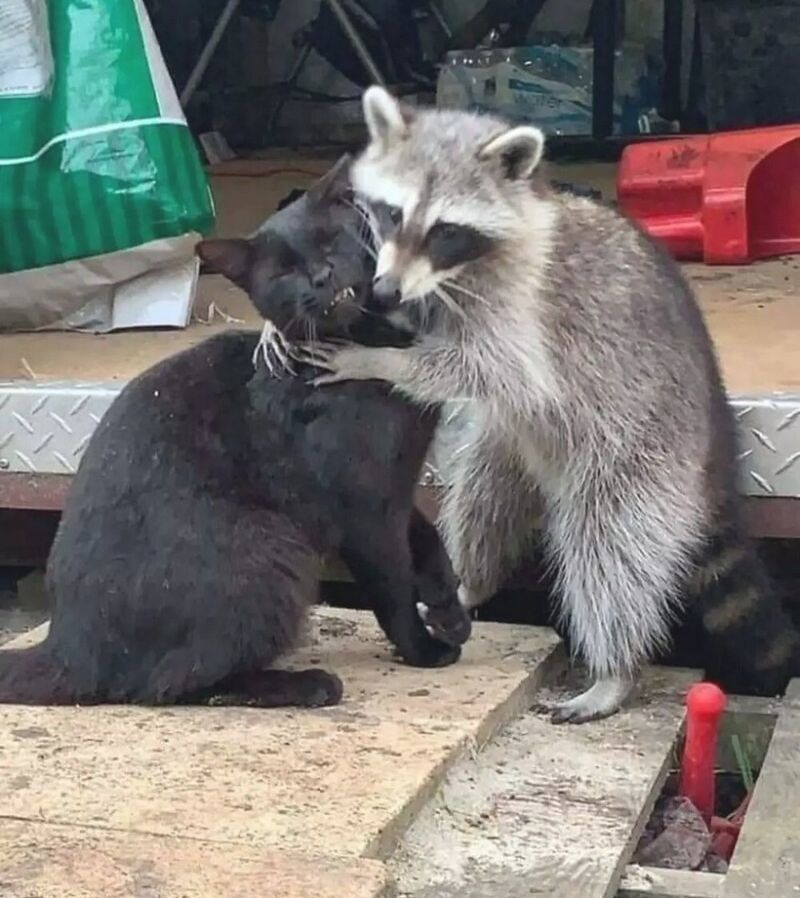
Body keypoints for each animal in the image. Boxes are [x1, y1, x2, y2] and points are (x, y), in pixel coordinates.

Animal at [0, 159, 468, 708]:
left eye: (330, 241)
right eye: (283, 272)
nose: (321, 275)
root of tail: (67, 644)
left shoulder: (395, 483)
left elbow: (427, 536)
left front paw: (449, 609)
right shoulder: (365, 508)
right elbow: (392, 585)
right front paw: (423, 648)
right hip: (272, 548)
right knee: (166, 685)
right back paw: (305, 684)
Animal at [302, 87, 800, 724]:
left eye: (445, 231)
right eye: (392, 213)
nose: (386, 290)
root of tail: (712, 425)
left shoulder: (522, 310)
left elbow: (486, 368)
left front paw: (377, 361)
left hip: (640, 452)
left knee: (610, 549)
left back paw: (615, 668)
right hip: (511, 445)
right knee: (481, 502)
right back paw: (468, 582)